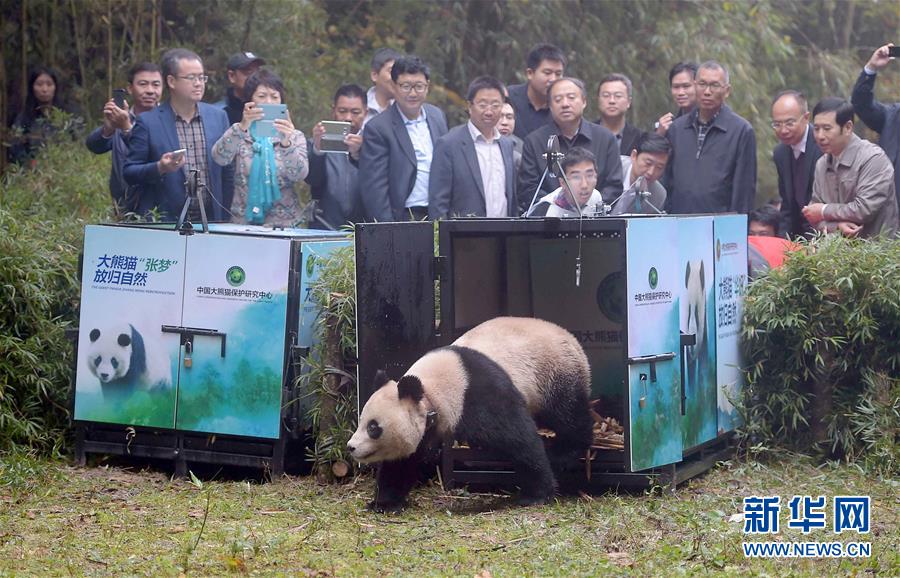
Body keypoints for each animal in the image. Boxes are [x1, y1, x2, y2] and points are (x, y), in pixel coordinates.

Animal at [348, 316, 594, 512]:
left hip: (553, 374)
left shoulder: (476, 394)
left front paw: (537, 494)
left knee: (568, 413)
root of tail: (571, 338)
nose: (351, 447)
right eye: (361, 421)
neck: (429, 390)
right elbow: (403, 461)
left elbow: (520, 439)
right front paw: (384, 503)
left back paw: (565, 451)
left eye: (373, 427)